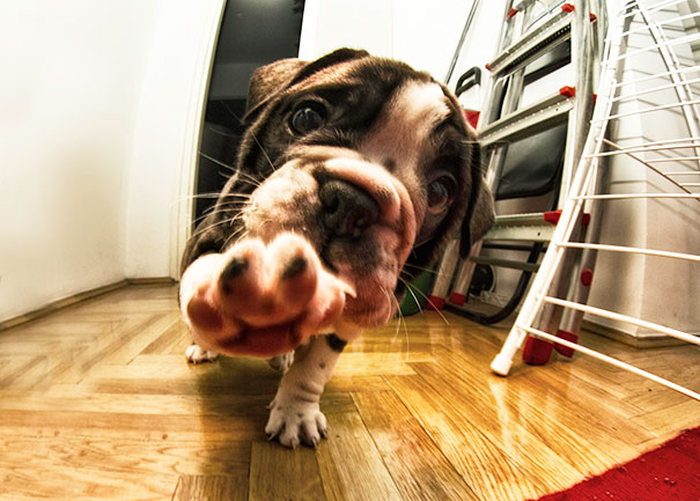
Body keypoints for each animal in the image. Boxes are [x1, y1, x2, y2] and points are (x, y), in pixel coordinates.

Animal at [178, 49, 494, 450]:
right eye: (306, 116)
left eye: (440, 192)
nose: (351, 202)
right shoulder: (207, 238)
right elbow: (199, 276)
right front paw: (222, 302)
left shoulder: (346, 320)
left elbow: (315, 367)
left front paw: (295, 412)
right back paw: (208, 346)